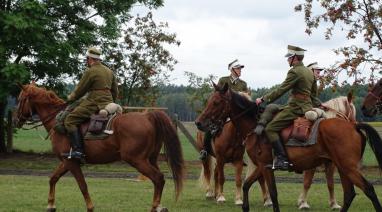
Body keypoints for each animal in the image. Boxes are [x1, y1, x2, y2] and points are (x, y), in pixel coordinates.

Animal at [15, 83, 186, 212]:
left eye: (20, 99)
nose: (16, 120)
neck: (57, 121)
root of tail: (147, 116)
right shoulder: (67, 161)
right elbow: (53, 178)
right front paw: (51, 205)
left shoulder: (71, 162)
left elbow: (82, 185)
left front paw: (90, 207)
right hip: (151, 159)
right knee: (159, 180)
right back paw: (159, 207)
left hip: (137, 160)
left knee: (158, 178)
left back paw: (154, 207)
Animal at [195, 83, 382, 212]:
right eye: (210, 101)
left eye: (216, 102)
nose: (199, 122)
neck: (255, 126)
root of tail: (353, 126)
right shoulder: (262, 166)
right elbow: (247, 185)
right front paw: (244, 206)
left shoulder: (265, 167)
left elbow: (273, 192)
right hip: (343, 168)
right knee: (349, 194)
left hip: (348, 168)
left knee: (369, 189)